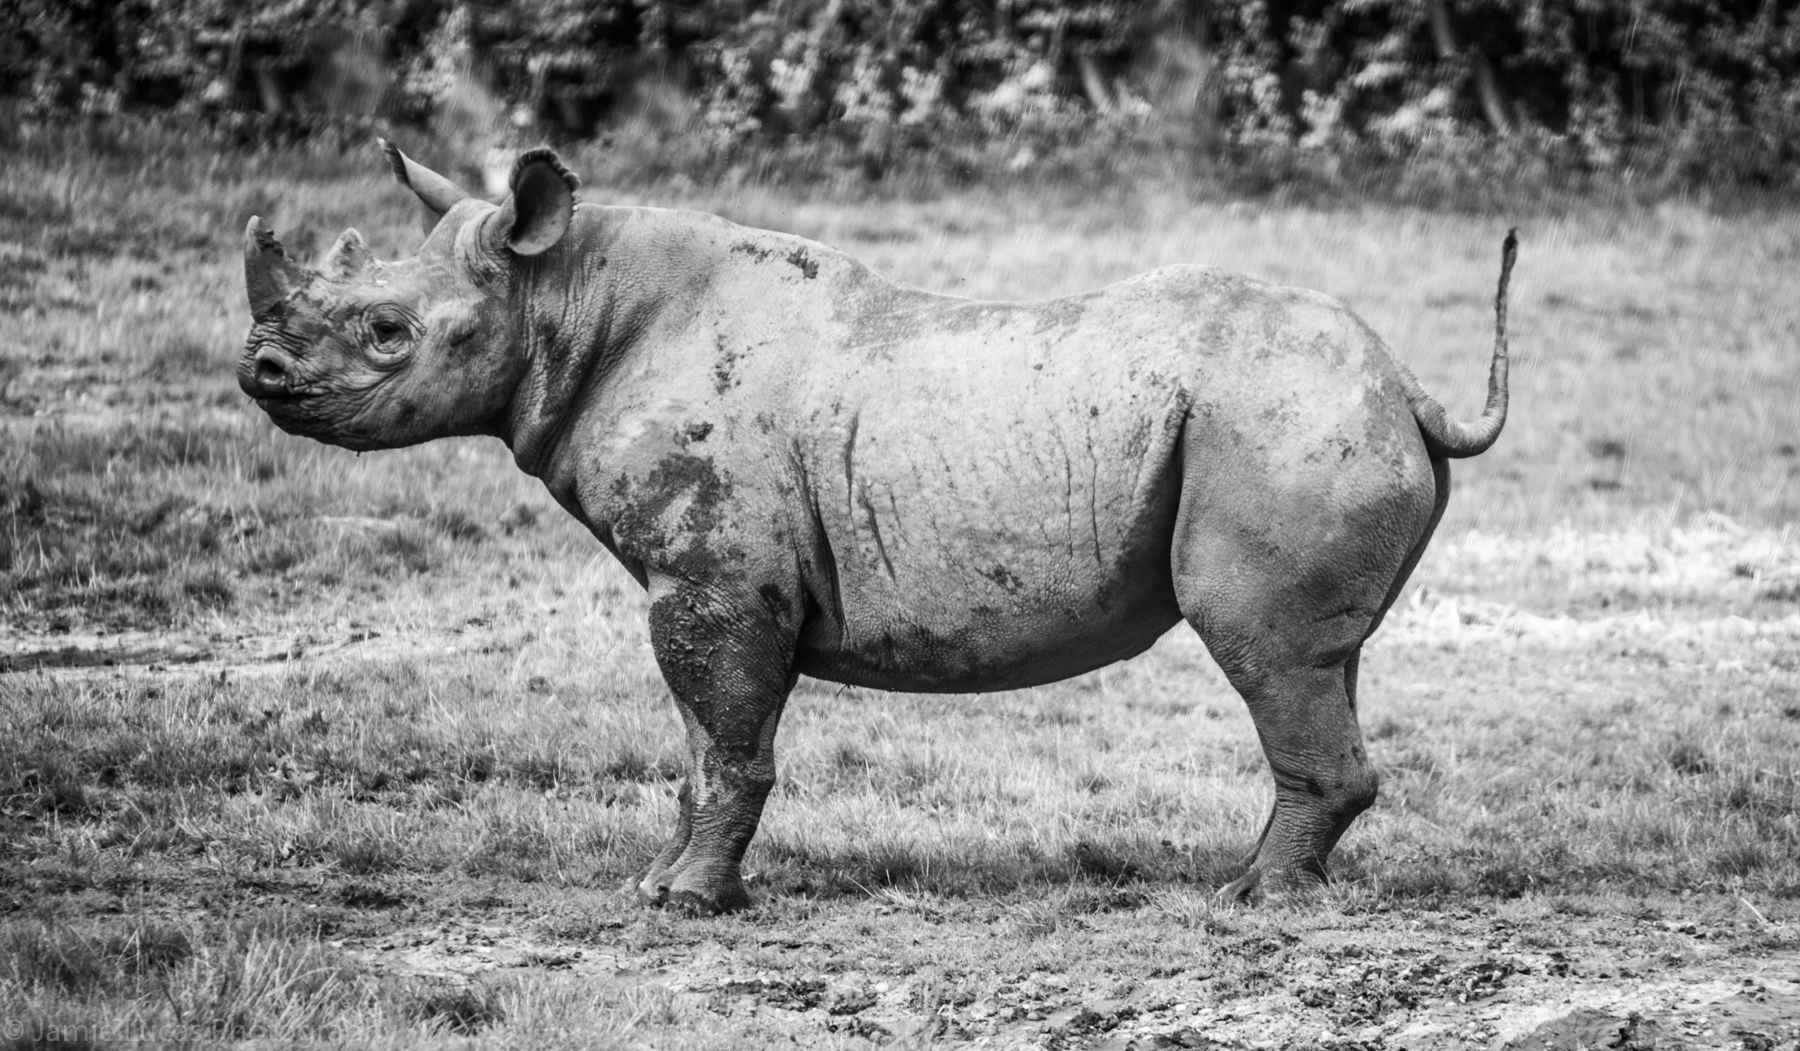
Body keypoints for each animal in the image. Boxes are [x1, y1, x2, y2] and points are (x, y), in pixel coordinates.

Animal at [239, 141, 1515, 912]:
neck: (560, 297)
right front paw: (660, 888)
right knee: (1319, 659)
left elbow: (728, 739)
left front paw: (691, 905)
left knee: (1262, 649)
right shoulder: (706, 578)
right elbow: (697, 742)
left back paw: (1253, 902)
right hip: (1301, 419)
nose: (257, 374)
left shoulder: (716, 576)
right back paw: (1265, 881)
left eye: (388, 332)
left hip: (1280, 420)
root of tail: (1406, 384)